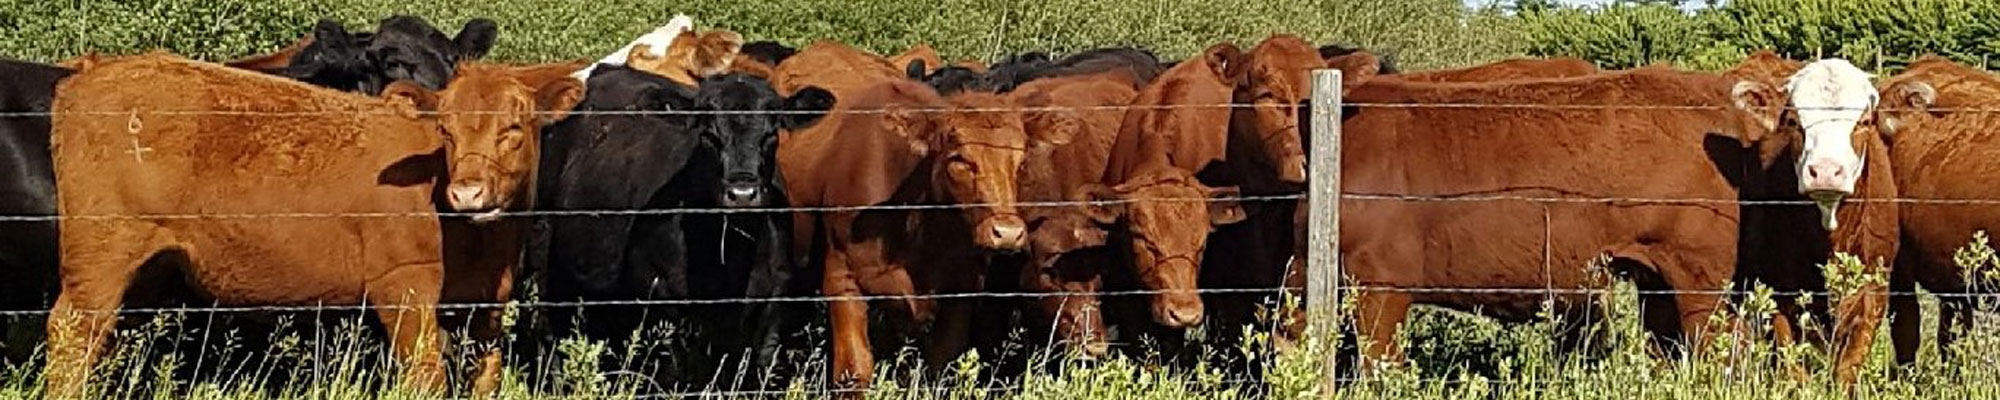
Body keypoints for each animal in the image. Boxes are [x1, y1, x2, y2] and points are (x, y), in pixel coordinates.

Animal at [42, 54, 581, 399]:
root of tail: (92, 74)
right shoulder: (402, 288)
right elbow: (426, 375)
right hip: (102, 252)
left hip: (149, 268)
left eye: (514, 127)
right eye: (445, 129)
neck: (481, 245)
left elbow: (485, 376)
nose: (467, 192)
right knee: (72, 334)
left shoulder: (488, 305)